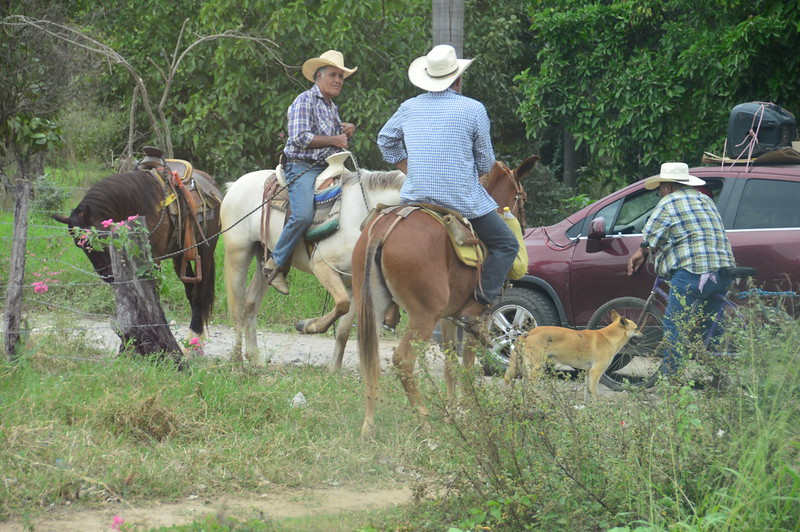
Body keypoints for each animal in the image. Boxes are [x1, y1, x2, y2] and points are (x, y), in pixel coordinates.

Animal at [53, 164, 222, 336]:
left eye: (100, 238)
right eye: (79, 245)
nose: (107, 276)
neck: (141, 205)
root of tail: (212, 184)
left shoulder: (153, 259)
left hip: (205, 251)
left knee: (199, 293)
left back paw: (195, 336)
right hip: (181, 255)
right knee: (190, 289)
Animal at [220, 164, 404, 368]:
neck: (361, 216)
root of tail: (235, 185)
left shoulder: (356, 281)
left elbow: (343, 329)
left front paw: (334, 369)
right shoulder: (322, 266)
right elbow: (342, 304)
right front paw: (307, 326)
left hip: (263, 259)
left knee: (251, 303)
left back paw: (255, 358)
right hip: (238, 254)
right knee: (238, 307)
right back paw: (236, 360)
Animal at [354, 156, 536, 438]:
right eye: (523, 197)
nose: (525, 227)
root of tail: (383, 229)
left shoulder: (449, 317)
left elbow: (451, 364)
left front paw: (454, 412)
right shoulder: (474, 320)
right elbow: (468, 366)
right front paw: (472, 411)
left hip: (372, 309)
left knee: (369, 360)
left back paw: (369, 426)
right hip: (423, 316)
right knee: (403, 361)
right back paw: (425, 423)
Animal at [506, 310, 644, 402]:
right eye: (636, 328)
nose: (644, 336)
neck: (607, 338)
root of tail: (527, 333)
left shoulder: (588, 373)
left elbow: (587, 393)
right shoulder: (596, 373)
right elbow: (594, 392)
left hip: (527, 370)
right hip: (536, 370)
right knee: (531, 389)